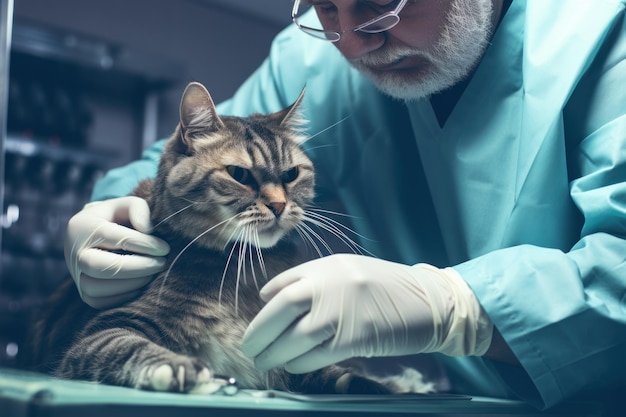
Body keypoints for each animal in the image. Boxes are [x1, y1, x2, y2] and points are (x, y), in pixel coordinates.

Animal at [25, 83, 394, 394]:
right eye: (240, 174)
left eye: (291, 174)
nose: (278, 205)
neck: (246, 271)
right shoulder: (104, 329)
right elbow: (125, 345)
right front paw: (177, 367)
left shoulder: (290, 351)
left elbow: (332, 371)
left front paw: (375, 384)